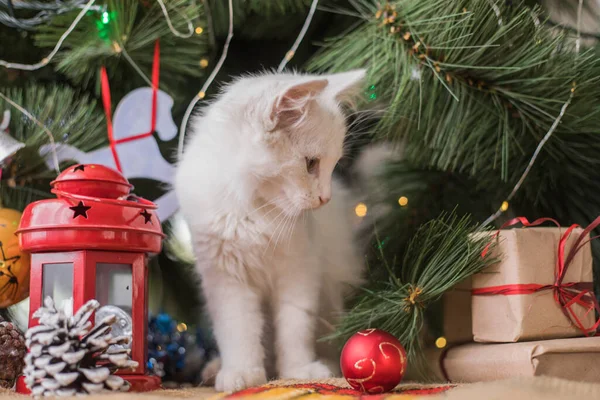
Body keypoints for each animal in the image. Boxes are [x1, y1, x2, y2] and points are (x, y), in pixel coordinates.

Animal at [175, 70, 366, 392]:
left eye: (332, 166)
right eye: (311, 164)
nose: (325, 198)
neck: (254, 210)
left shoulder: (299, 270)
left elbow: (294, 327)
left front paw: (298, 371)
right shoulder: (225, 277)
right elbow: (238, 329)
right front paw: (242, 373)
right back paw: (215, 369)